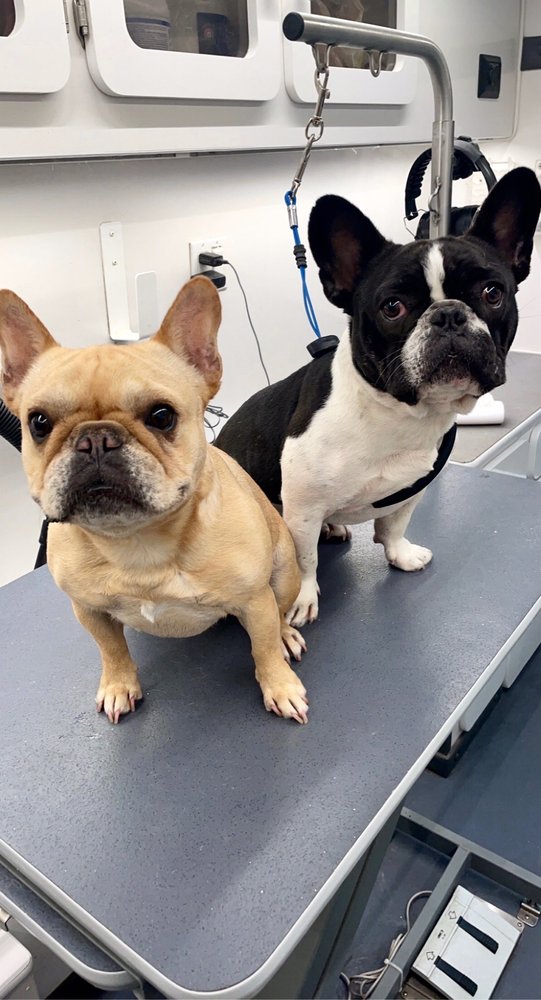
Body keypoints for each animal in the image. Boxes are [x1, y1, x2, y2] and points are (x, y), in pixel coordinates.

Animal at [0, 276, 309, 724]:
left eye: (162, 416)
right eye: (38, 422)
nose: (96, 439)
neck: (137, 542)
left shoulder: (254, 601)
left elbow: (263, 648)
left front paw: (280, 686)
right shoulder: (87, 609)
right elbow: (111, 649)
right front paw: (118, 685)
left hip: (284, 571)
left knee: (280, 611)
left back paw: (287, 634)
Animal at [216, 167, 541, 627]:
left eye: (493, 293)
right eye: (392, 307)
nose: (449, 315)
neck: (395, 415)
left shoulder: (412, 488)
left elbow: (393, 526)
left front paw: (400, 555)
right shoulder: (301, 506)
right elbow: (304, 559)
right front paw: (303, 599)